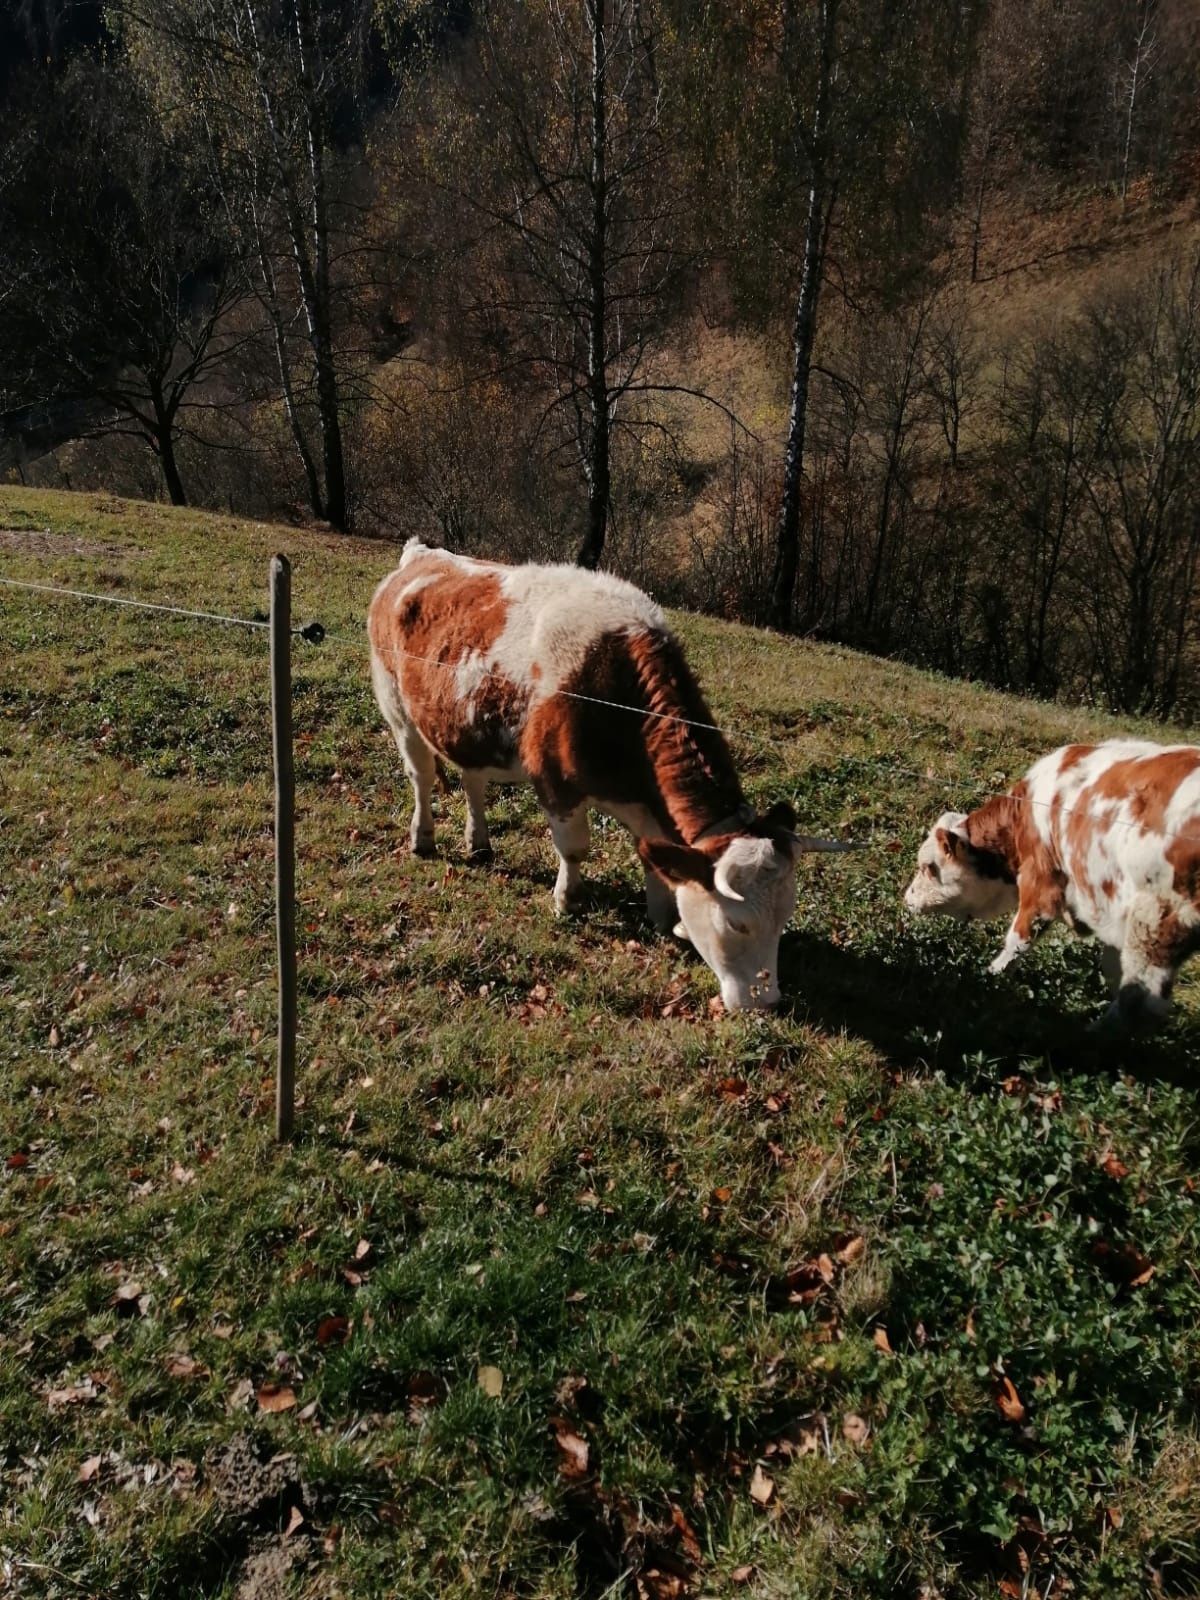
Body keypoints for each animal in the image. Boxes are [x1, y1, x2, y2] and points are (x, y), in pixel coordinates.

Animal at [371, 544, 851, 1004]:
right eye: (737, 924)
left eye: (784, 919)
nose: (767, 1001)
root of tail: (420, 554)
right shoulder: (555, 782)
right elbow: (574, 849)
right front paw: (567, 901)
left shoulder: (644, 806)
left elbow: (651, 856)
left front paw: (660, 916)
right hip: (397, 709)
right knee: (421, 778)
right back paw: (423, 839)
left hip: (465, 725)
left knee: (472, 782)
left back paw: (480, 843)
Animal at [908, 739, 1200, 1024]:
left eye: (928, 868)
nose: (907, 898)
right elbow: (1114, 970)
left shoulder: (1041, 881)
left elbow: (1018, 940)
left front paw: (990, 978)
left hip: (1155, 920)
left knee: (1139, 997)